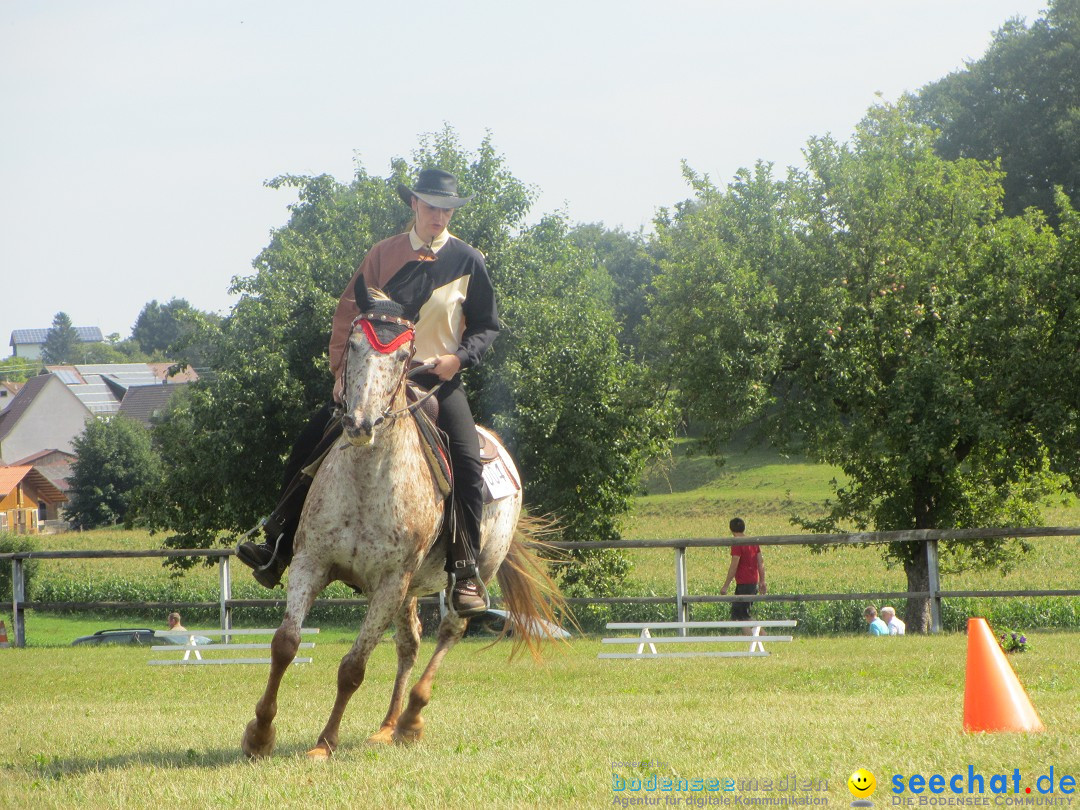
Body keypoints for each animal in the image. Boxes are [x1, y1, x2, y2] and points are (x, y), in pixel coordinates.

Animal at [243, 278, 565, 760]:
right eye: (354, 344)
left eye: (402, 355)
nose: (359, 423)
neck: (366, 480)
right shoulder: (311, 562)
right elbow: (285, 644)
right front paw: (260, 733)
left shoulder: (390, 583)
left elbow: (353, 667)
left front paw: (324, 743)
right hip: (410, 589)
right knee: (410, 641)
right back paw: (387, 725)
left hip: (467, 574)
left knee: (450, 630)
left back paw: (412, 718)